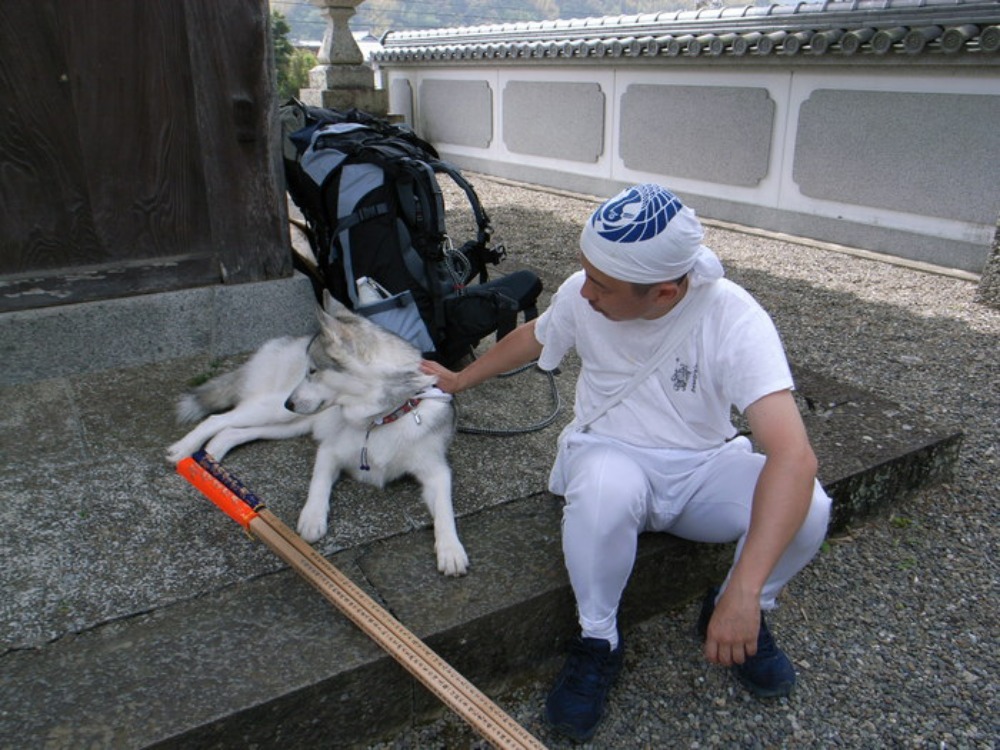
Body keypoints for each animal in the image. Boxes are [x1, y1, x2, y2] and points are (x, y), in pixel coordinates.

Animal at [168, 294, 468, 576]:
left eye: (312, 371)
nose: (289, 402)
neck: (380, 420)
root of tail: (284, 341)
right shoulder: (329, 452)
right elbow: (319, 483)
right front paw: (312, 518)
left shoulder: (437, 471)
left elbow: (445, 510)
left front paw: (451, 549)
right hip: (274, 411)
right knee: (217, 419)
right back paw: (183, 450)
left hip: (290, 423)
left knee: (232, 432)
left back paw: (211, 459)